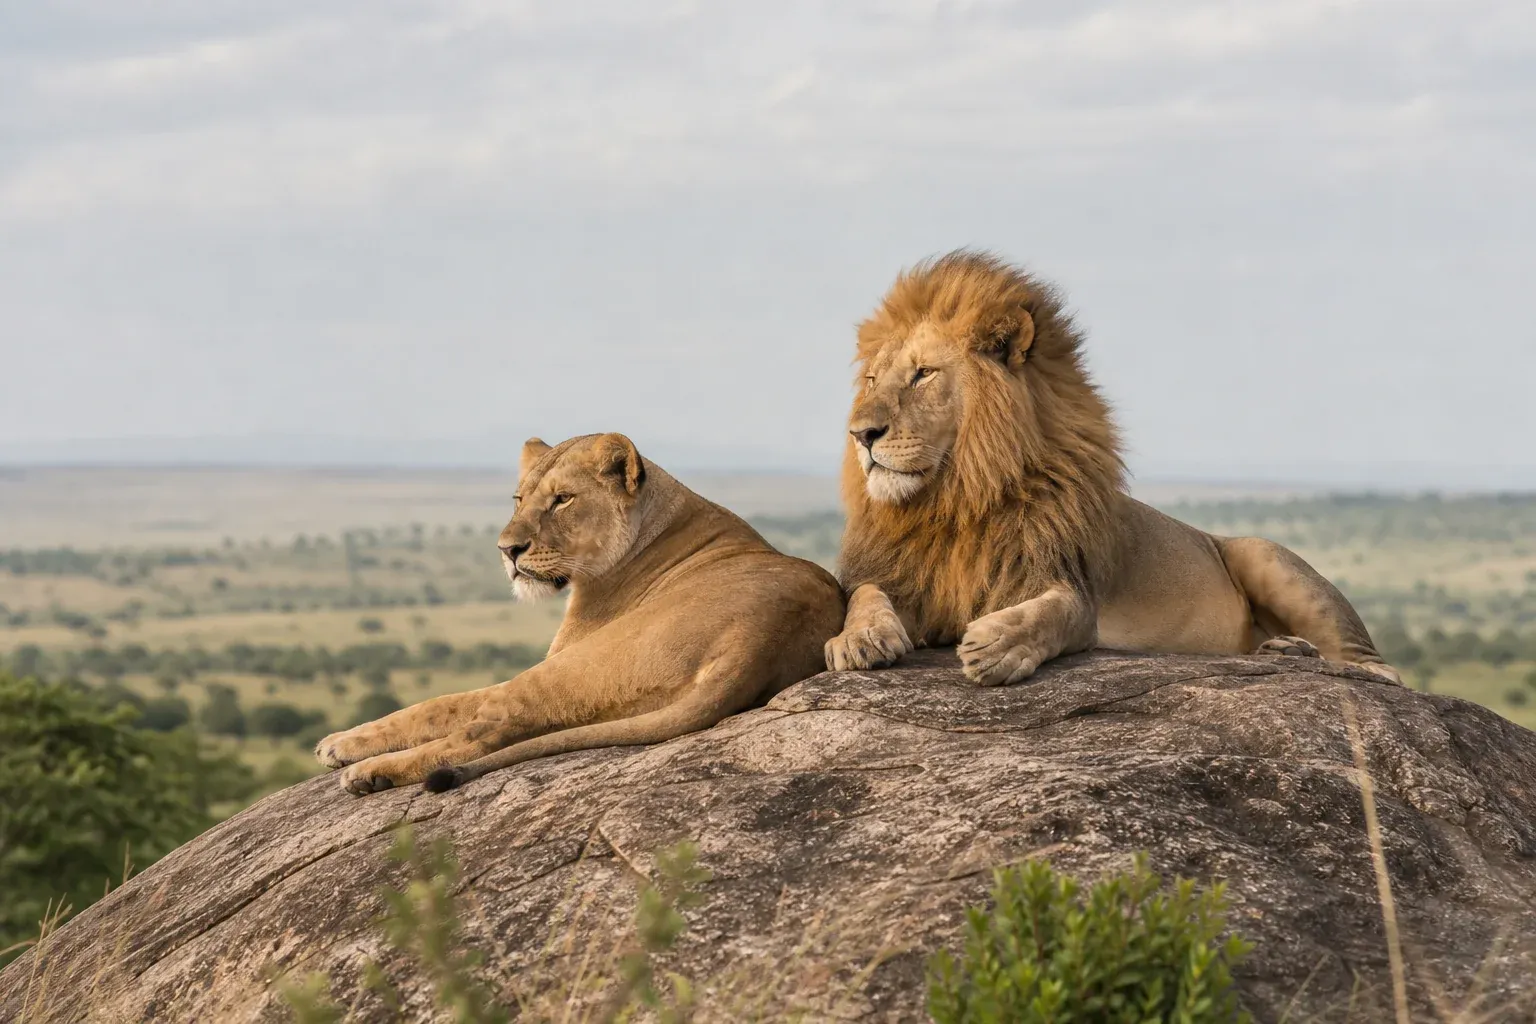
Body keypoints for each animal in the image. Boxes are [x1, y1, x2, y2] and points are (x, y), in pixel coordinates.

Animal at [315, 432, 846, 794]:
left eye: (562, 499)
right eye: (519, 499)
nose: (507, 550)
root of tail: (756, 643)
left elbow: (436, 706)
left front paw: (340, 746)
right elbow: (432, 706)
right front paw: (340, 741)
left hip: (568, 668)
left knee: (481, 734)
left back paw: (371, 774)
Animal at [824, 250, 1402, 687]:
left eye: (923, 374)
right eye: (873, 379)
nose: (861, 434)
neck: (955, 499)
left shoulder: (1068, 587)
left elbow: (1054, 614)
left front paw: (998, 645)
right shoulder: (912, 578)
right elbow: (865, 594)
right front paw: (858, 637)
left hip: (1268, 559)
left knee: (1377, 668)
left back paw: (1312, 656)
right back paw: (1282, 650)